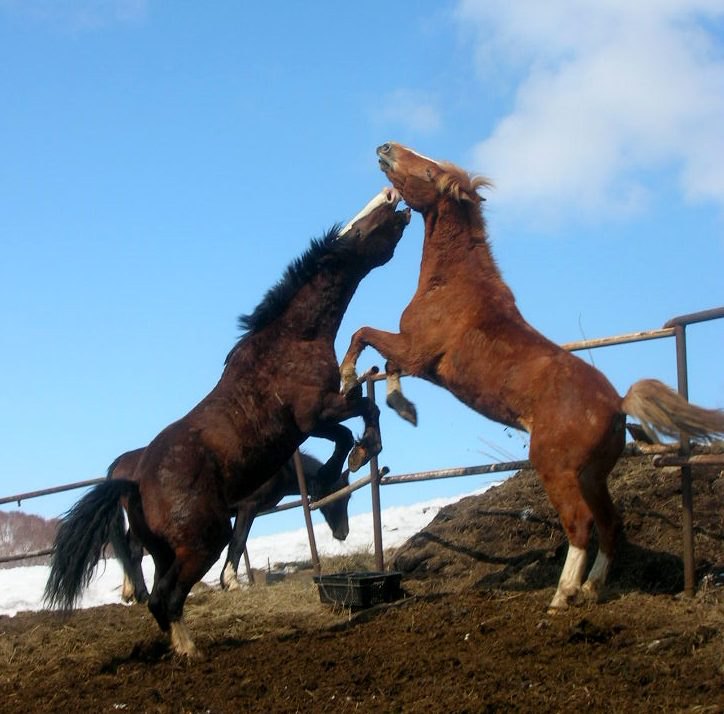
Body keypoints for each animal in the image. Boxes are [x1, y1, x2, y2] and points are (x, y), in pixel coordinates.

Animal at [108, 444, 354, 600]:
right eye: (339, 496)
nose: (343, 533)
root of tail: (122, 462)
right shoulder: (248, 507)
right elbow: (237, 542)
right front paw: (231, 582)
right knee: (134, 550)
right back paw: (141, 594)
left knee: (130, 548)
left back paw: (131, 592)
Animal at [340, 142, 724, 608]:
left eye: (430, 171)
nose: (386, 148)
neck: (453, 285)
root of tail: (617, 406)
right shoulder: (417, 360)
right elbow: (389, 367)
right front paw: (404, 408)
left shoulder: (417, 350)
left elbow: (363, 335)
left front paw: (347, 379)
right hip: (591, 476)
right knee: (610, 524)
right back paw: (592, 588)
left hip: (555, 468)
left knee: (581, 524)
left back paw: (563, 596)